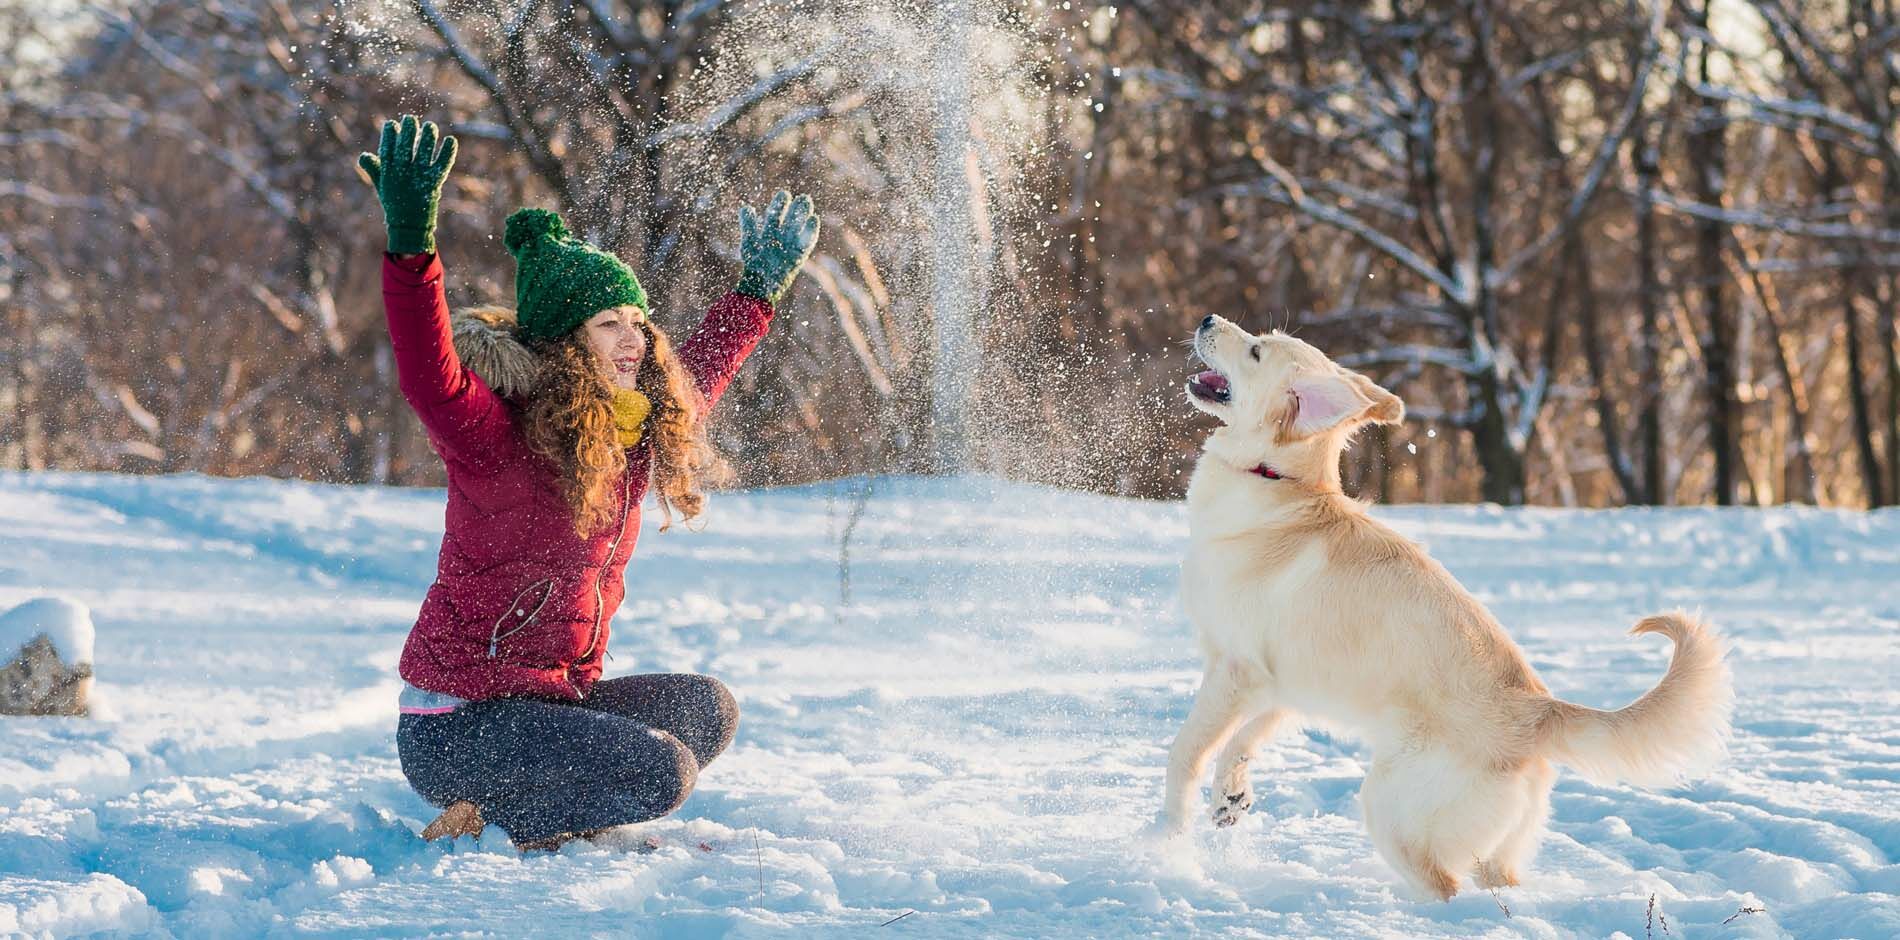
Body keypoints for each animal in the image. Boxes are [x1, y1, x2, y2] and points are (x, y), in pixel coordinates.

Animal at [1155, 319, 1740, 903]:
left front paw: (1167, 840)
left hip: (1390, 808)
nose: (1207, 321)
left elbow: (1187, 753)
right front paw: (1229, 797)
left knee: (1445, 888)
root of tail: (1538, 711)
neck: (1278, 482)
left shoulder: (1235, 671)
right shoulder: (1285, 686)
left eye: (1255, 350)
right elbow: (1243, 740)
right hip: (1495, 849)